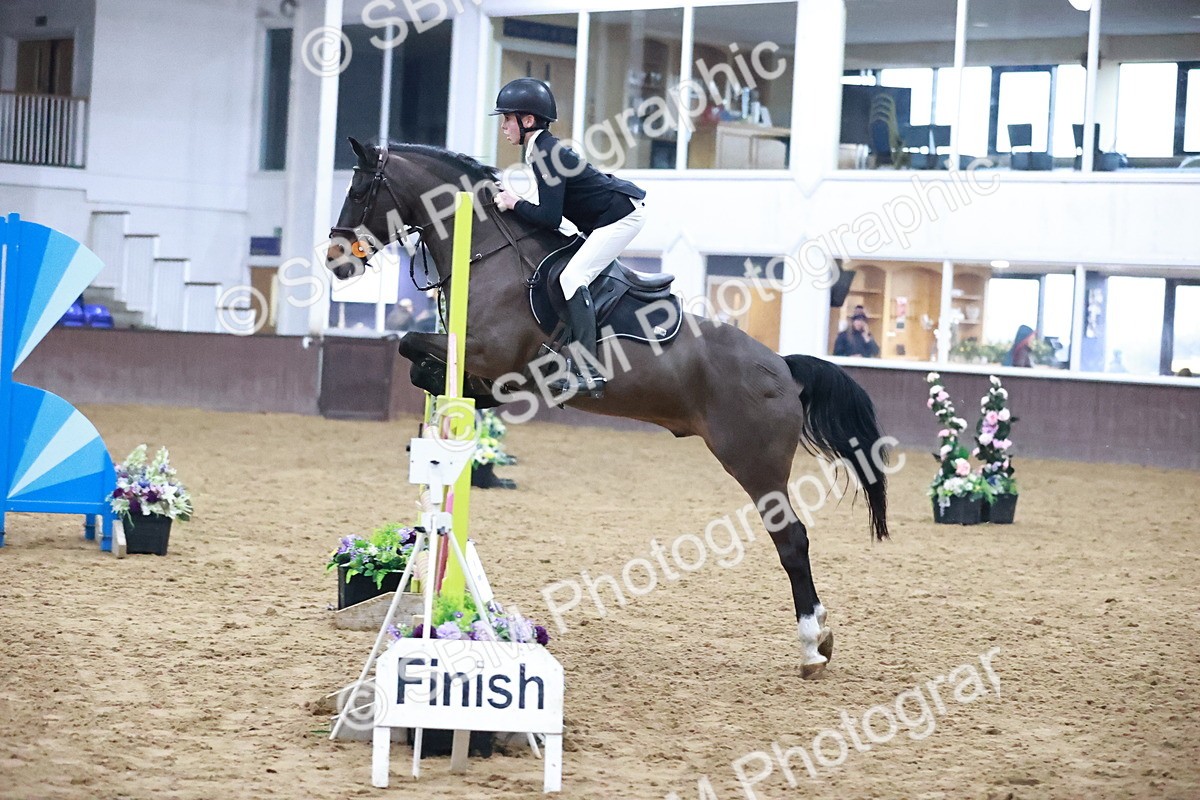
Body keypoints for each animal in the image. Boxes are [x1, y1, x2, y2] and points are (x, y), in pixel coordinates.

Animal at [326, 138, 889, 679]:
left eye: (359, 189)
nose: (336, 259)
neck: (489, 254)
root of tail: (784, 367)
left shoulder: (489, 353)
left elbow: (408, 342)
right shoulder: (499, 373)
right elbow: (437, 369)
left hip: (755, 464)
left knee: (791, 540)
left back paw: (813, 645)